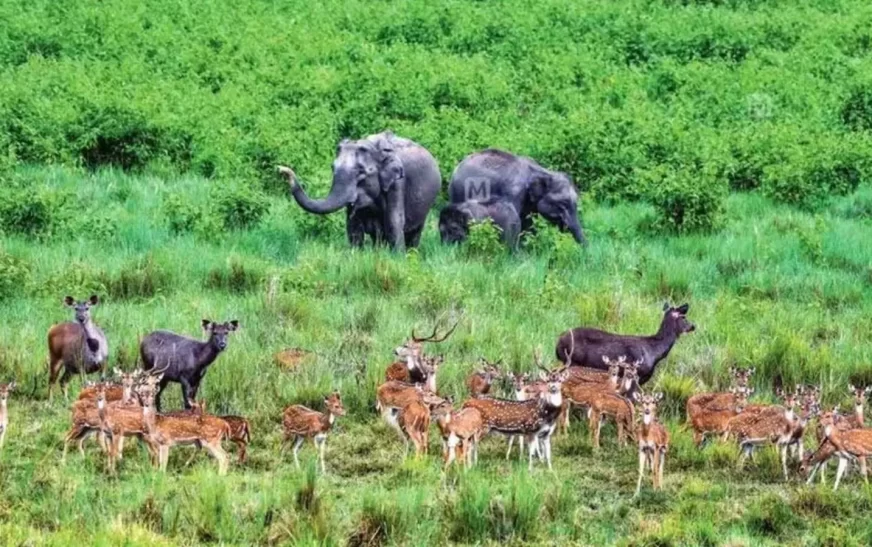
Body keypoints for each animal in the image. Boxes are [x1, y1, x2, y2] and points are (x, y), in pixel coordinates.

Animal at [280, 132, 440, 252]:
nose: (283, 170)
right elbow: (353, 226)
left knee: (415, 233)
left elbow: (394, 221)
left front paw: (398, 258)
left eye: (361, 172)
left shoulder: (398, 183)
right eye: (332, 168)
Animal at [560, 304, 696, 386]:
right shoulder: (636, 374)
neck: (654, 352)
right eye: (684, 317)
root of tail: (558, 343)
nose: (693, 326)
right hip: (573, 362)